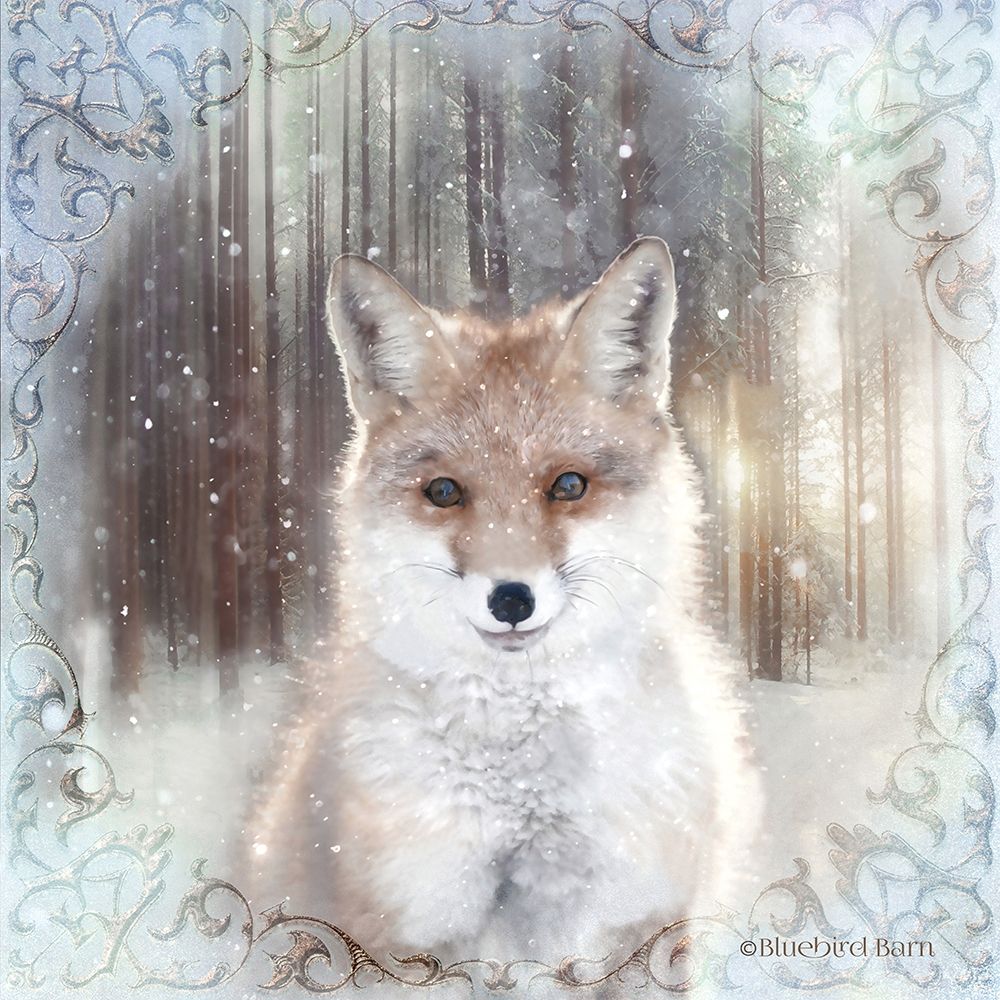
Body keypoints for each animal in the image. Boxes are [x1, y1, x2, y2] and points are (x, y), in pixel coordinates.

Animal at [248, 237, 758, 971]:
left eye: (568, 485)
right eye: (444, 492)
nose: (511, 598)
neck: (525, 803)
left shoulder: (645, 923)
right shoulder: (406, 935)